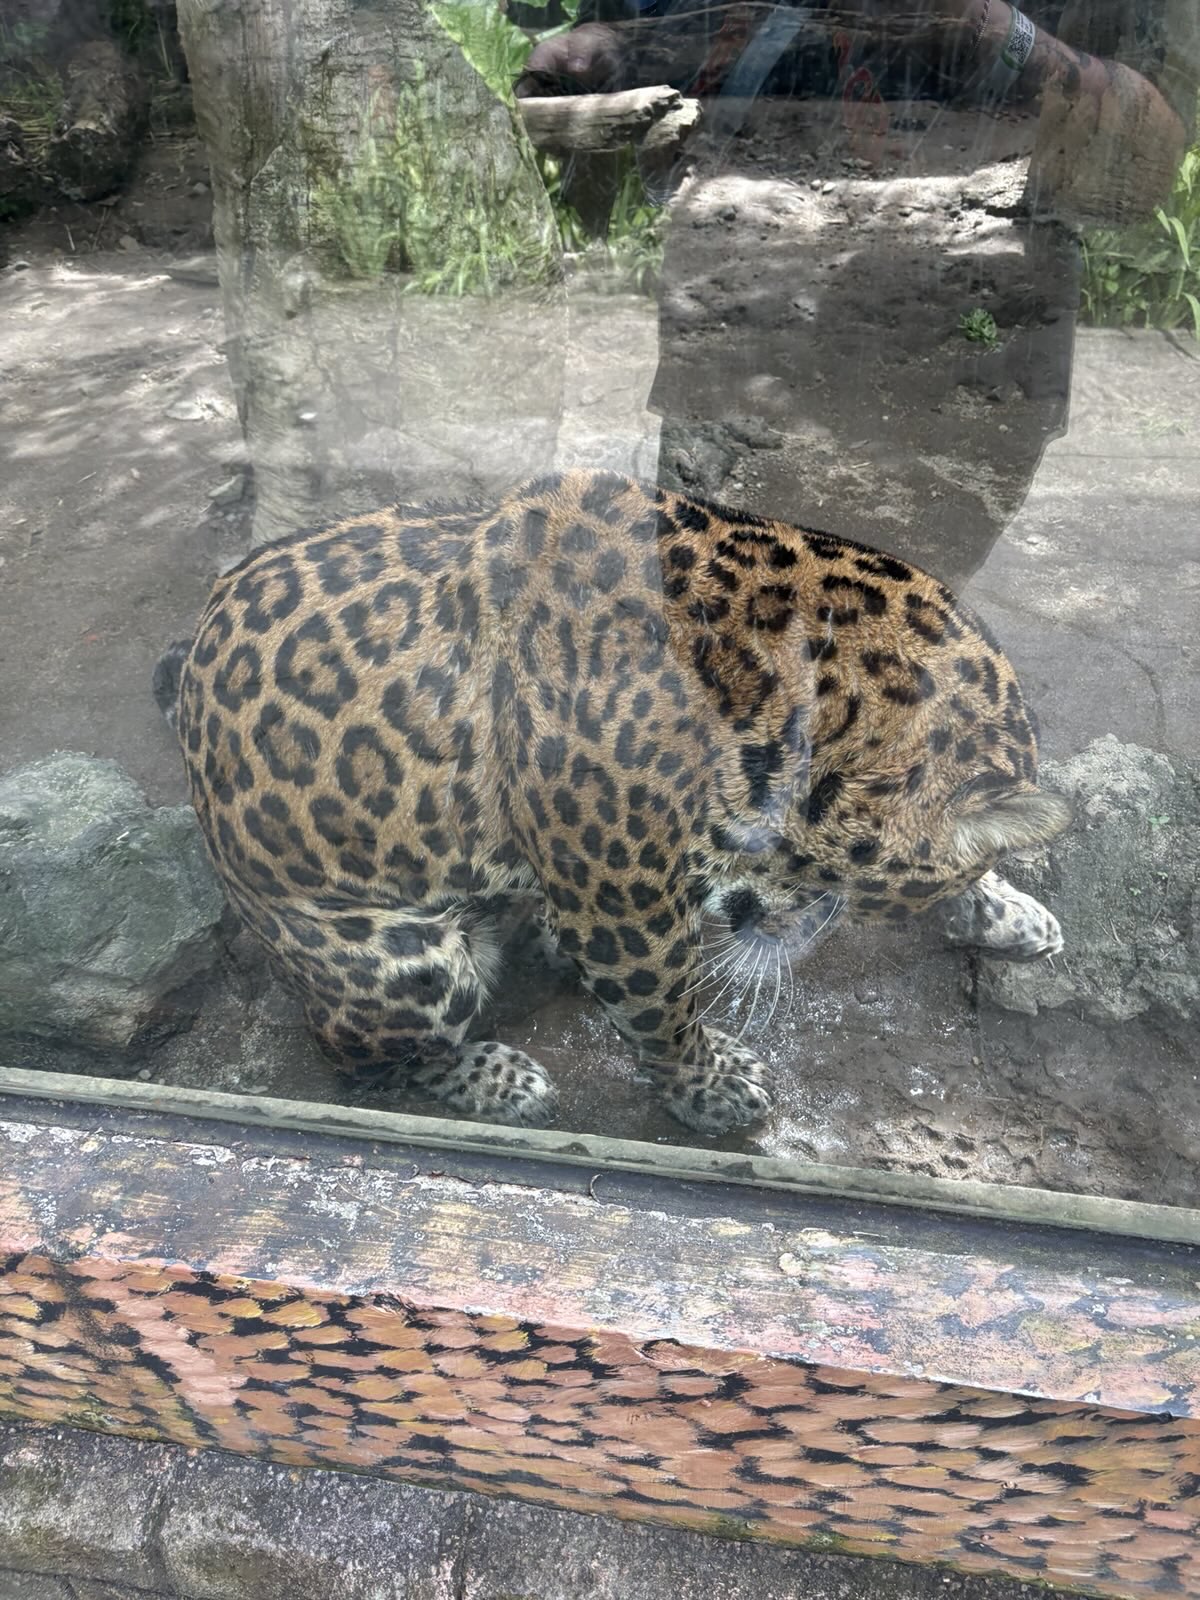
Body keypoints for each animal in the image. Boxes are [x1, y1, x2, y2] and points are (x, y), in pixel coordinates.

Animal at [157, 468, 1070, 1136]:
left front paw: (1009, 908)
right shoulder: (623, 906)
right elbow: (665, 1013)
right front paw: (714, 1088)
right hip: (403, 963)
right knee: (354, 1055)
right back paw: (497, 1078)